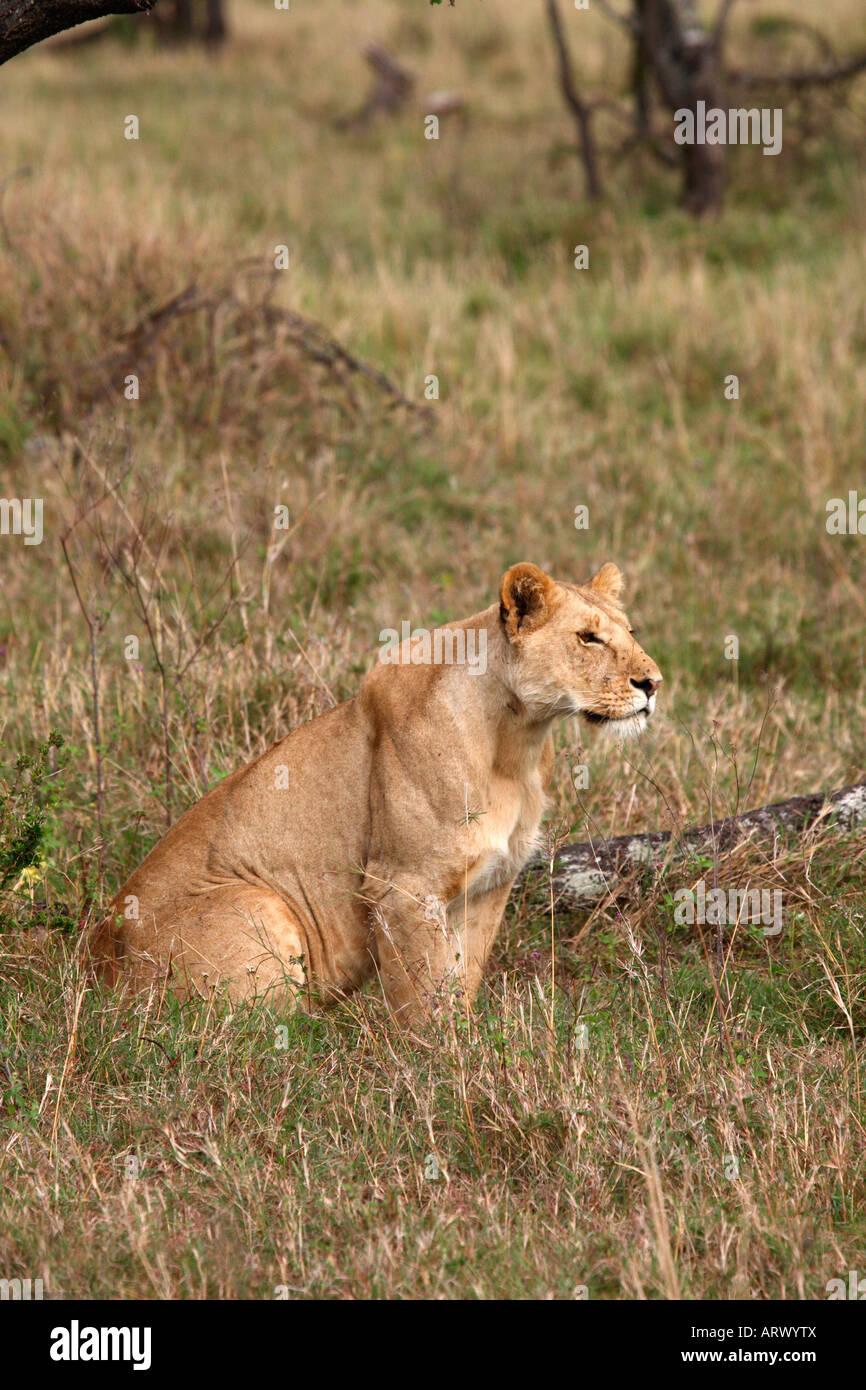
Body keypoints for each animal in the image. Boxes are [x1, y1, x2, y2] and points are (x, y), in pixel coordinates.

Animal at [93, 562, 662, 1024]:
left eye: (631, 632)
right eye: (588, 638)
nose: (653, 683)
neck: (515, 742)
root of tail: (94, 962)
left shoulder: (488, 885)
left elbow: (462, 981)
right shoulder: (403, 886)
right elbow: (421, 999)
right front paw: (439, 1069)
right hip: (261, 902)